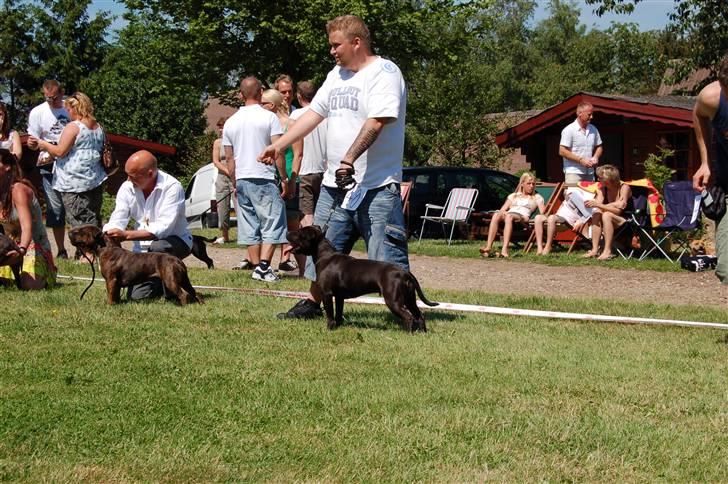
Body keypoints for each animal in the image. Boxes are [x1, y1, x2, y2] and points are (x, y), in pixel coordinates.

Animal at [68, 224, 200, 306]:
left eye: (81, 232)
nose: (69, 232)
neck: (104, 248)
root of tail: (177, 260)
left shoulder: (111, 280)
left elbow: (110, 295)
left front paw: (109, 306)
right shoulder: (115, 283)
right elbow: (115, 294)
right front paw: (116, 304)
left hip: (170, 280)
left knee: (183, 294)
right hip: (183, 280)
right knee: (192, 291)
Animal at [286, 226, 438, 332]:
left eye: (299, 233)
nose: (287, 232)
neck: (325, 255)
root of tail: (404, 272)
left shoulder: (327, 294)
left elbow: (330, 314)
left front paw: (329, 328)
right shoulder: (339, 296)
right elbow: (338, 313)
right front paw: (338, 326)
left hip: (393, 300)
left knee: (408, 317)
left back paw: (408, 333)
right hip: (409, 298)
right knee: (419, 315)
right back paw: (422, 333)